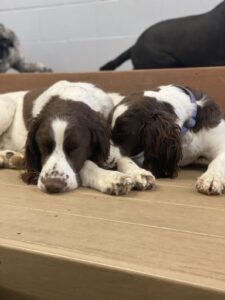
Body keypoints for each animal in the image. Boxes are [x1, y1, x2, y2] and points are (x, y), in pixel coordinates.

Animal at [0, 80, 154, 195]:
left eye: (75, 148)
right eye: (43, 146)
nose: (52, 185)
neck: (70, 97)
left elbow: (120, 157)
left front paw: (138, 172)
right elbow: (87, 165)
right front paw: (111, 178)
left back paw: (12, 157)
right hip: (6, 108)